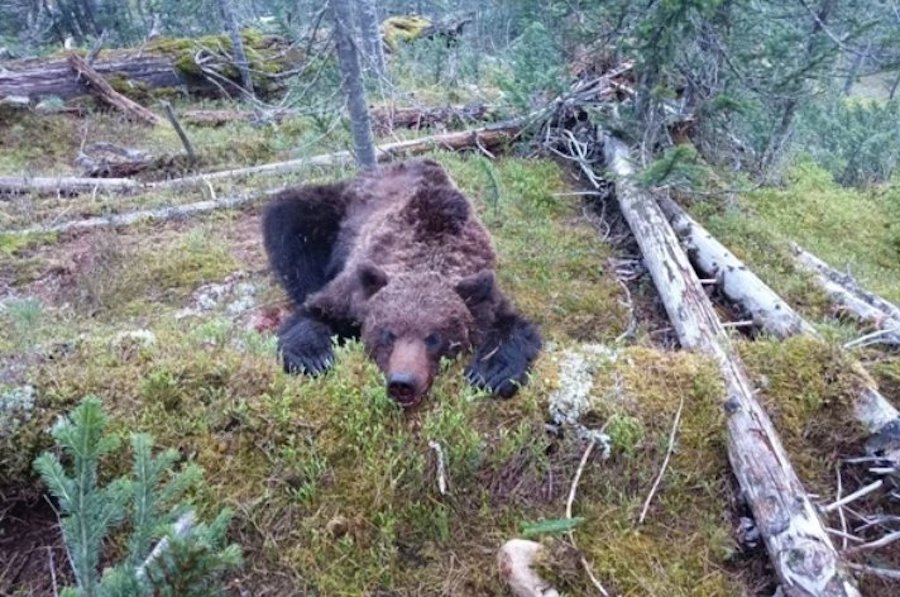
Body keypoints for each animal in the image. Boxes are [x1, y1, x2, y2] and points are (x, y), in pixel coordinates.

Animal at [260, 157, 540, 406]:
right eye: (389, 333)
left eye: (434, 337)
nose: (403, 382)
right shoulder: (355, 288)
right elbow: (314, 312)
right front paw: (313, 358)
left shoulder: (483, 288)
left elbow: (514, 326)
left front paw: (491, 373)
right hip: (335, 211)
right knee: (290, 217)